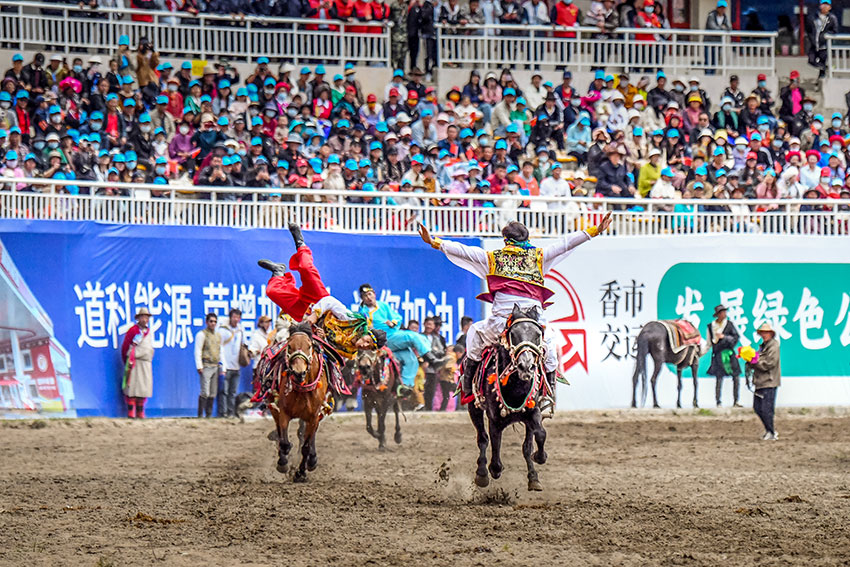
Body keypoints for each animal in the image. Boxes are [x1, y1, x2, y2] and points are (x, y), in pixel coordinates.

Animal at [268, 326, 332, 482]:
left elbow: (306, 447)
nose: (299, 373)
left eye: (309, 346)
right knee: (280, 434)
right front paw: (283, 463)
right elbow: (284, 443)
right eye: (290, 346)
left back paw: (311, 461)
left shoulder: (313, 417)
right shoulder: (283, 412)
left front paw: (300, 473)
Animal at [464, 306, 548, 492]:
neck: (515, 386)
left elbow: (538, 437)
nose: (526, 366)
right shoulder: (494, 418)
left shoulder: (533, 411)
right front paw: (493, 471)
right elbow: (495, 445)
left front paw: (538, 462)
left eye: (537, 334)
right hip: (473, 408)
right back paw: (482, 474)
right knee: (482, 439)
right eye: (514, 334)